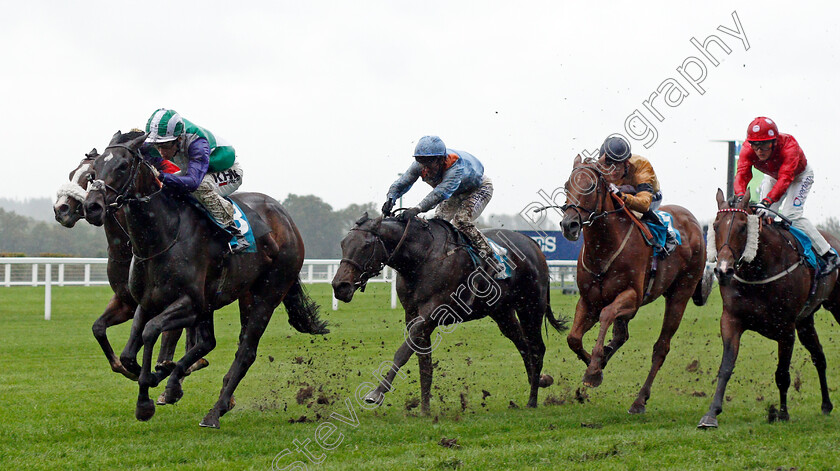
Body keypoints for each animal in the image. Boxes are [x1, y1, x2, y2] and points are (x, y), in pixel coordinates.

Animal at [53, 148, 207, 388]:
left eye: (89, 176)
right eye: (71, 174)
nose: (61, 209)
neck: (127, 249)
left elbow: (164, 335)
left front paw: (162, 369)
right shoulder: (125, 301)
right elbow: (98, 328)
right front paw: (125, 367)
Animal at [80, 131, 326, 430]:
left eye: (123, 166)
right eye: (93, 171)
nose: (92, 206)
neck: (162, 236)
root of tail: (287, 220)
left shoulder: (190, 302)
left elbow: (151, 331)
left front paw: (146, 399)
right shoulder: (147, 301)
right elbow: (129, 352)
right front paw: (154, 378)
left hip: (267, 293)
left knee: (246, 351)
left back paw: (214, 411)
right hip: (234, 296)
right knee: (209, 342)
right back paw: (182, 385)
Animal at [330, 212, 564, 414]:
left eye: (366, 245)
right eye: (343, 243)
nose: (339, 286)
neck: (421, 258)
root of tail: (532, 243)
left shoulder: (432, 313)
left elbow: (403, 352)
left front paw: (377, 392)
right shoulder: (412, 316)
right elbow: (424, 361)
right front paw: (424, 409)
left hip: (530, 307)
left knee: (536, 349)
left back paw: (532, 400)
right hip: (502, 313)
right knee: (523, 346)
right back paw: (538, 382)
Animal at [556, 155, 708, 412]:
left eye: (591, 186)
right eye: (567, 186)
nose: (569, 225)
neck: (604, 250)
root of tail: (693, 221)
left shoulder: (632, 297)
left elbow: (607, 314)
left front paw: (594, 370)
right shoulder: (588, 301)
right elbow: (573, 338)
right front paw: (596, 364)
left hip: (680, 293)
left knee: (661, 347)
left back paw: (639, 400)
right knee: (622, 335)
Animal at [696, 190, 840, 430]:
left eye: (743, 227)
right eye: (715, 225)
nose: (723, 270)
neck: (759, 271)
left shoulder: (786, 329)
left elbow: (782, 374)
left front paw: (781, 413)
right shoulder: (731, 320)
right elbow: (725, 367)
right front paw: (711, 414)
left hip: (835, 307)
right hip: (806, 321)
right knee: (819, 356)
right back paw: (826, 405)